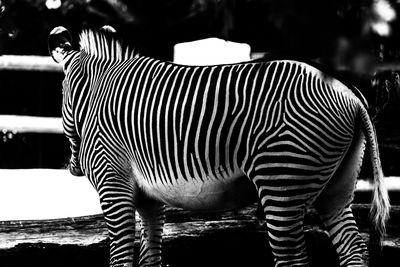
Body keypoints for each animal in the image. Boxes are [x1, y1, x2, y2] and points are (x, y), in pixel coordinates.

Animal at [48, 25, 390, 267]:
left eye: (61, 91)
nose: (73, 167)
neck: (94, 94)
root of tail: (349, 92)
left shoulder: (113, 184)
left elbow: (120, 256)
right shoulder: (150, 198)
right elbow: (150, 257)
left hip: (283, 177)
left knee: (294, 258)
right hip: (337, 185)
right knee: (353, 249)